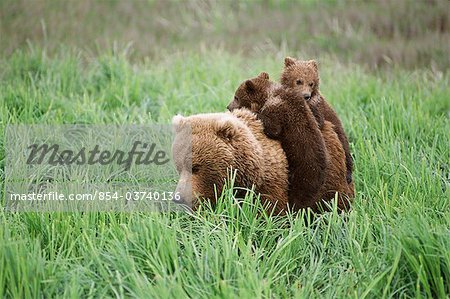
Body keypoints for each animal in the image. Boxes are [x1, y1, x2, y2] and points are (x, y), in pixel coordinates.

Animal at [282, 57, 356, 185]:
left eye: (311, 83)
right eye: (298, 81)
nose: (306, 96)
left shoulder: (318, 108)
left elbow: (317, 122)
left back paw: (348, 174)